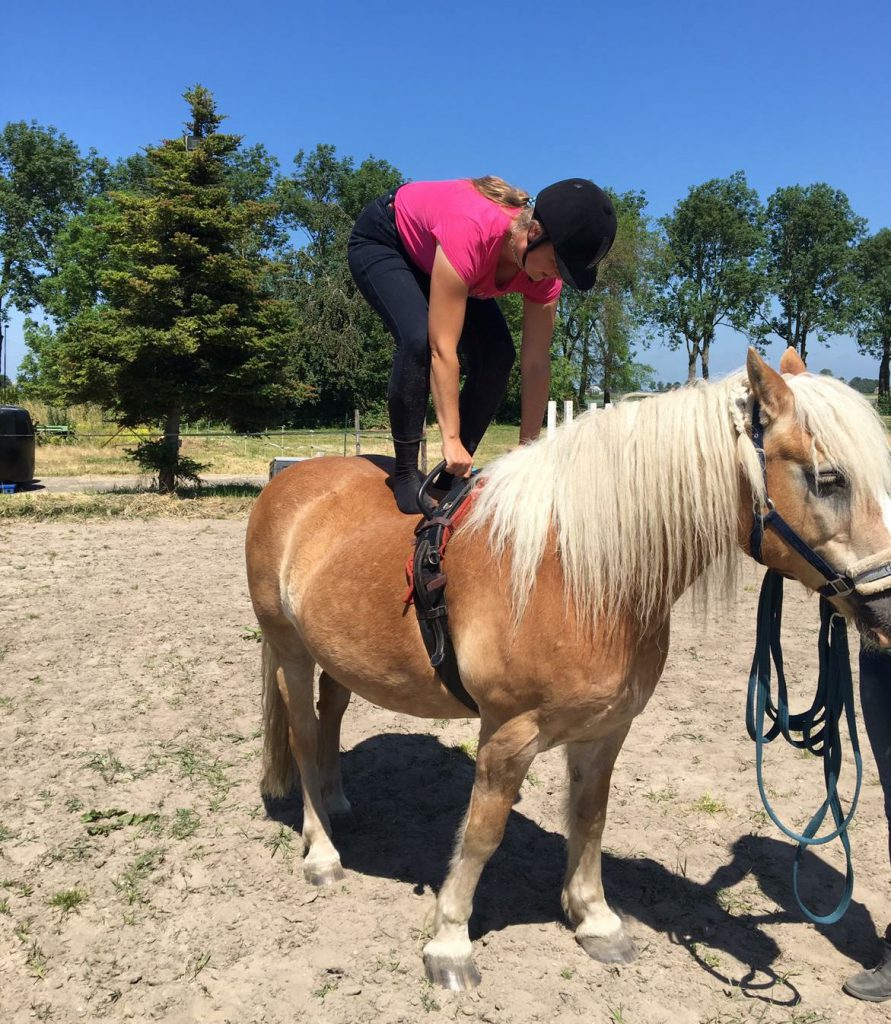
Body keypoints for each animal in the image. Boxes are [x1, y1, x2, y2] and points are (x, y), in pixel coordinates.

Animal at [244, 348, 891, 990]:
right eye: (829, 479)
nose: (887, 610)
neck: (578, 574)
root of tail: (291, 479)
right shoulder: (508, 733)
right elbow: (483, 832)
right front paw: (450, 943)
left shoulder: (607, 730)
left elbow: (590, 817)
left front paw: (595, 920)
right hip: (291, 650)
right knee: (302, 734)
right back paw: (322, 852)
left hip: (339, 656)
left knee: (330, 718)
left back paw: (337, 804)